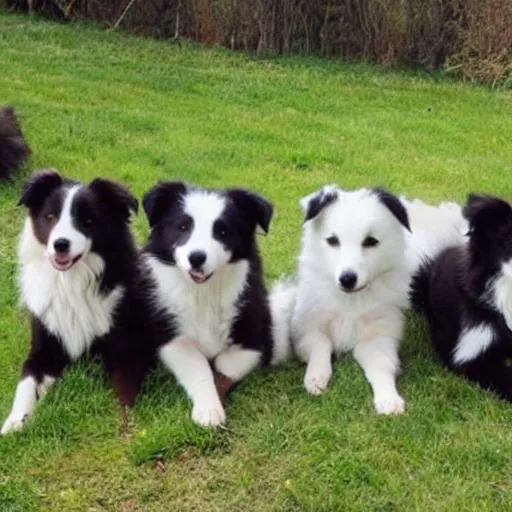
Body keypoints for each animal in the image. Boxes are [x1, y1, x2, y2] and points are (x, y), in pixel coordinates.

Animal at [2, 172, 154, 436]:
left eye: (88, 220)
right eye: (50, 217)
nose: (60, 245)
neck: (70, 282)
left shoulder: (126, 351)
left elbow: (124, 397)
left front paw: (128, 428)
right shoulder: (44, 350)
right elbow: (26, 384)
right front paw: (15, 421)